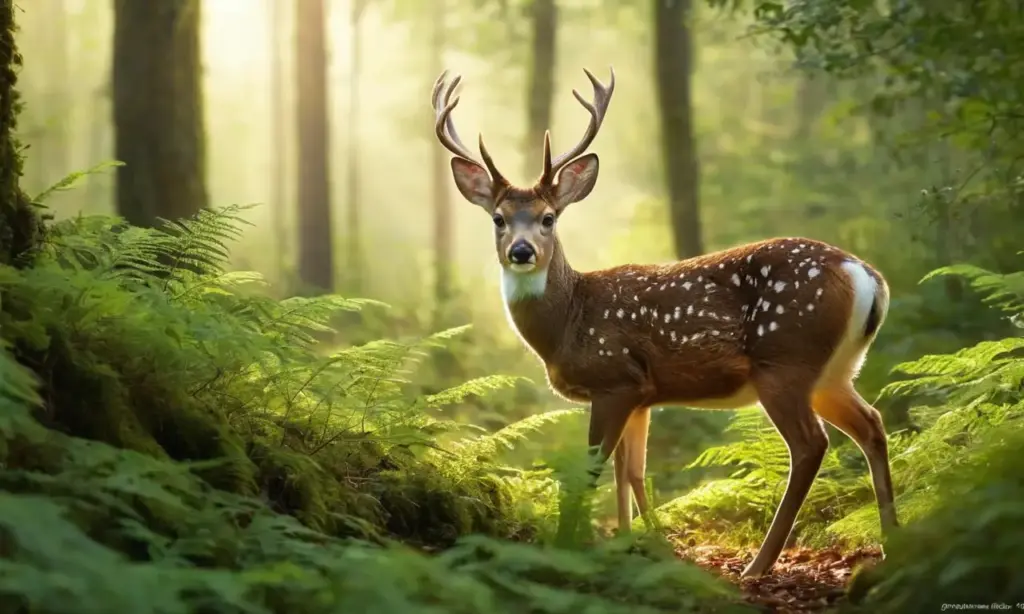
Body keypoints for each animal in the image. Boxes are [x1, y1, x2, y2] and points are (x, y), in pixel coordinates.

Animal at [429, 67, 899, 578]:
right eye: (498, 218)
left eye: (548, 218)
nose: (521, 251)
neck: (568, 323)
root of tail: (866, 276)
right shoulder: (641, 395)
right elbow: (630, 471)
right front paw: (637, 543)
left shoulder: (615, 378)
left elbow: (592, 468)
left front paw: (570, 546)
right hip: (833, 371)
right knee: (872, 424)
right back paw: (893, 541)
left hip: (785, 359)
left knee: (811, 445)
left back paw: (759, 565)